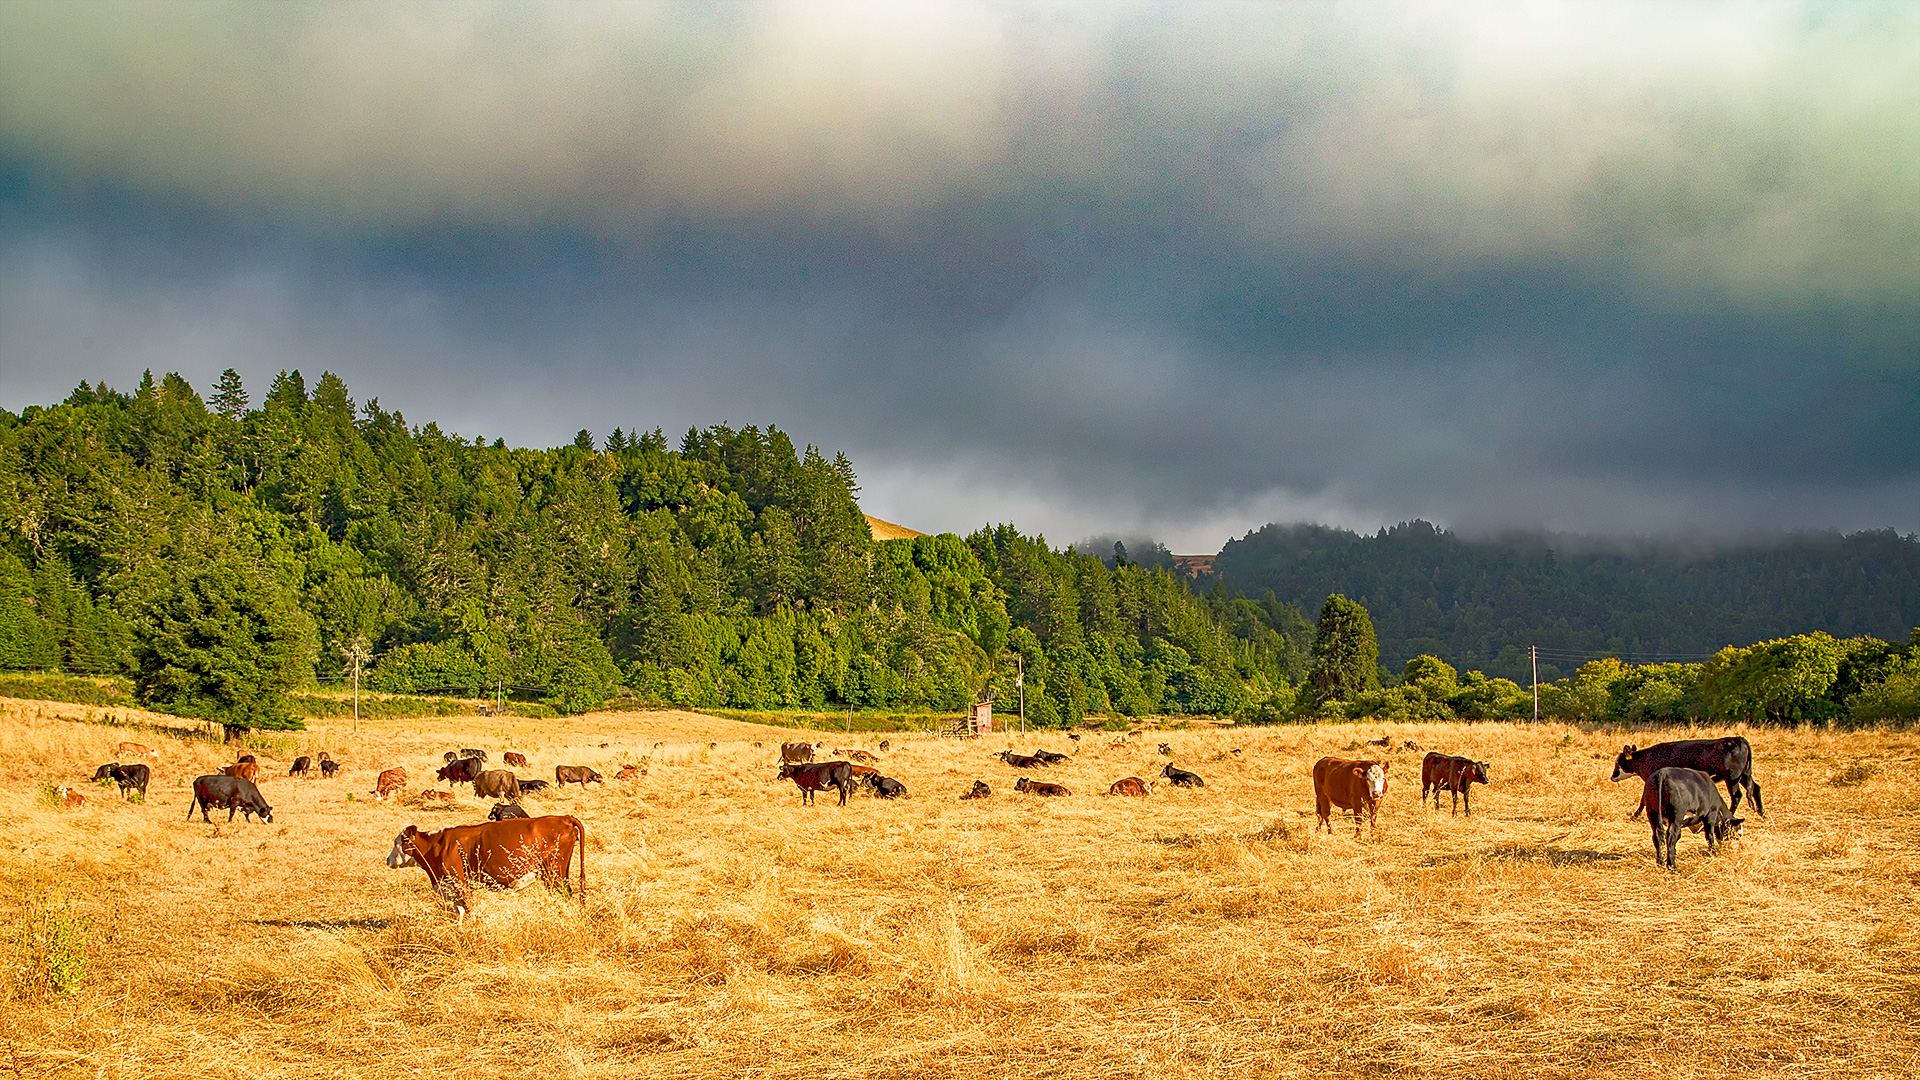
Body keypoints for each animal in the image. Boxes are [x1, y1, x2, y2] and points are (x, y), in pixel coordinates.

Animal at [378, 810, 579, 910]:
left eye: (397, 843)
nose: (388, 860)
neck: (437, 845)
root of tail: (564, 818)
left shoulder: (461, 884)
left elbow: (470, 911)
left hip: (554, 873)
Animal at [1612, 730, 1758, 814]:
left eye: (1618, 763)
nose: (1612, 777)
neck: (1648, 757)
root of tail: (1737, 739)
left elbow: (1643, 798)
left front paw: (1637, 814)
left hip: (1732, 779)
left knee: (1737, 796)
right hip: (1744, 775)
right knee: (1754, 789)